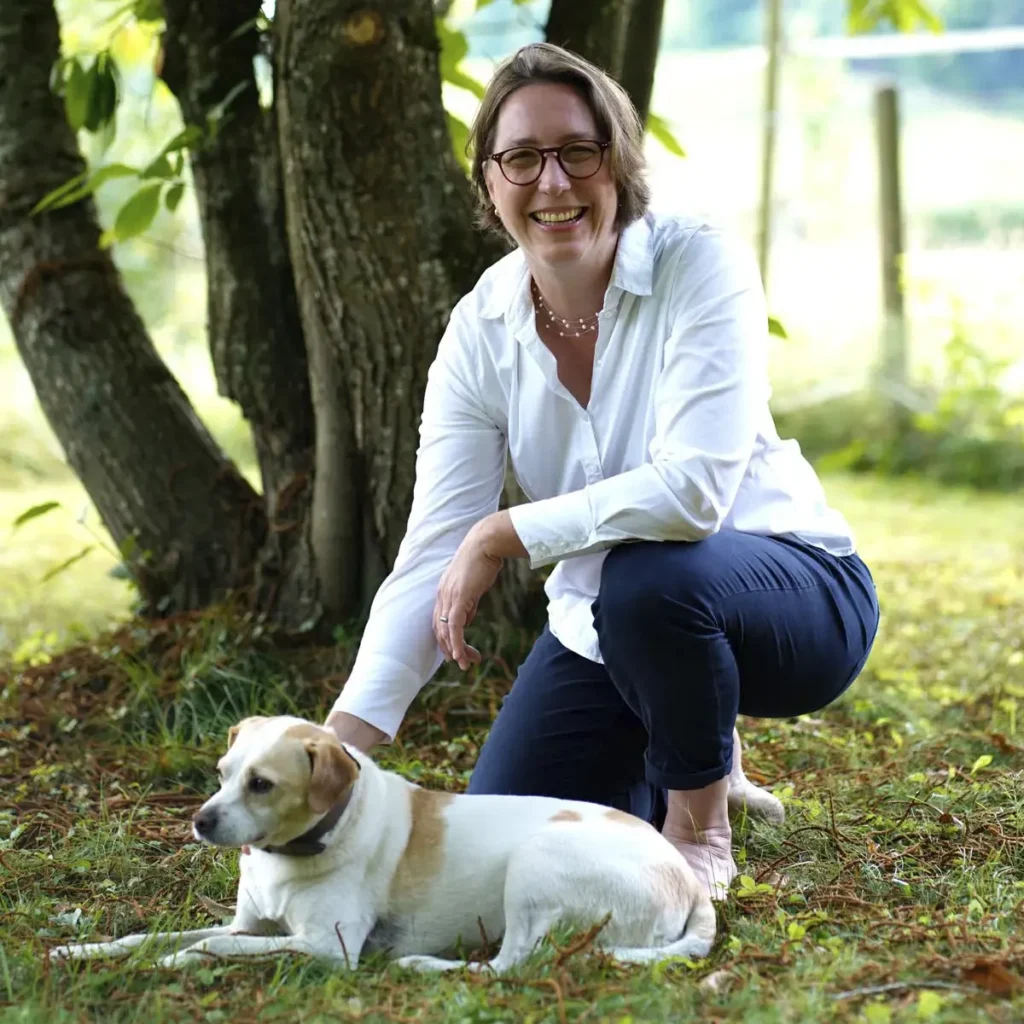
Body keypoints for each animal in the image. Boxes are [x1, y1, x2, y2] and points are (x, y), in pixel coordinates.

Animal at [49, 716, 729, 970]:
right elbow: (151, 935)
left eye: (261, 784)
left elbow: (214, 944)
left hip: (537, 865)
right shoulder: (251, 925)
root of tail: (687, 881)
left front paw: (179, 961)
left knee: (510, 965)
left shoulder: (328, 947)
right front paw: (82, 949)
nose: (199, 821)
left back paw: (426, 966)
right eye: (221, 772)